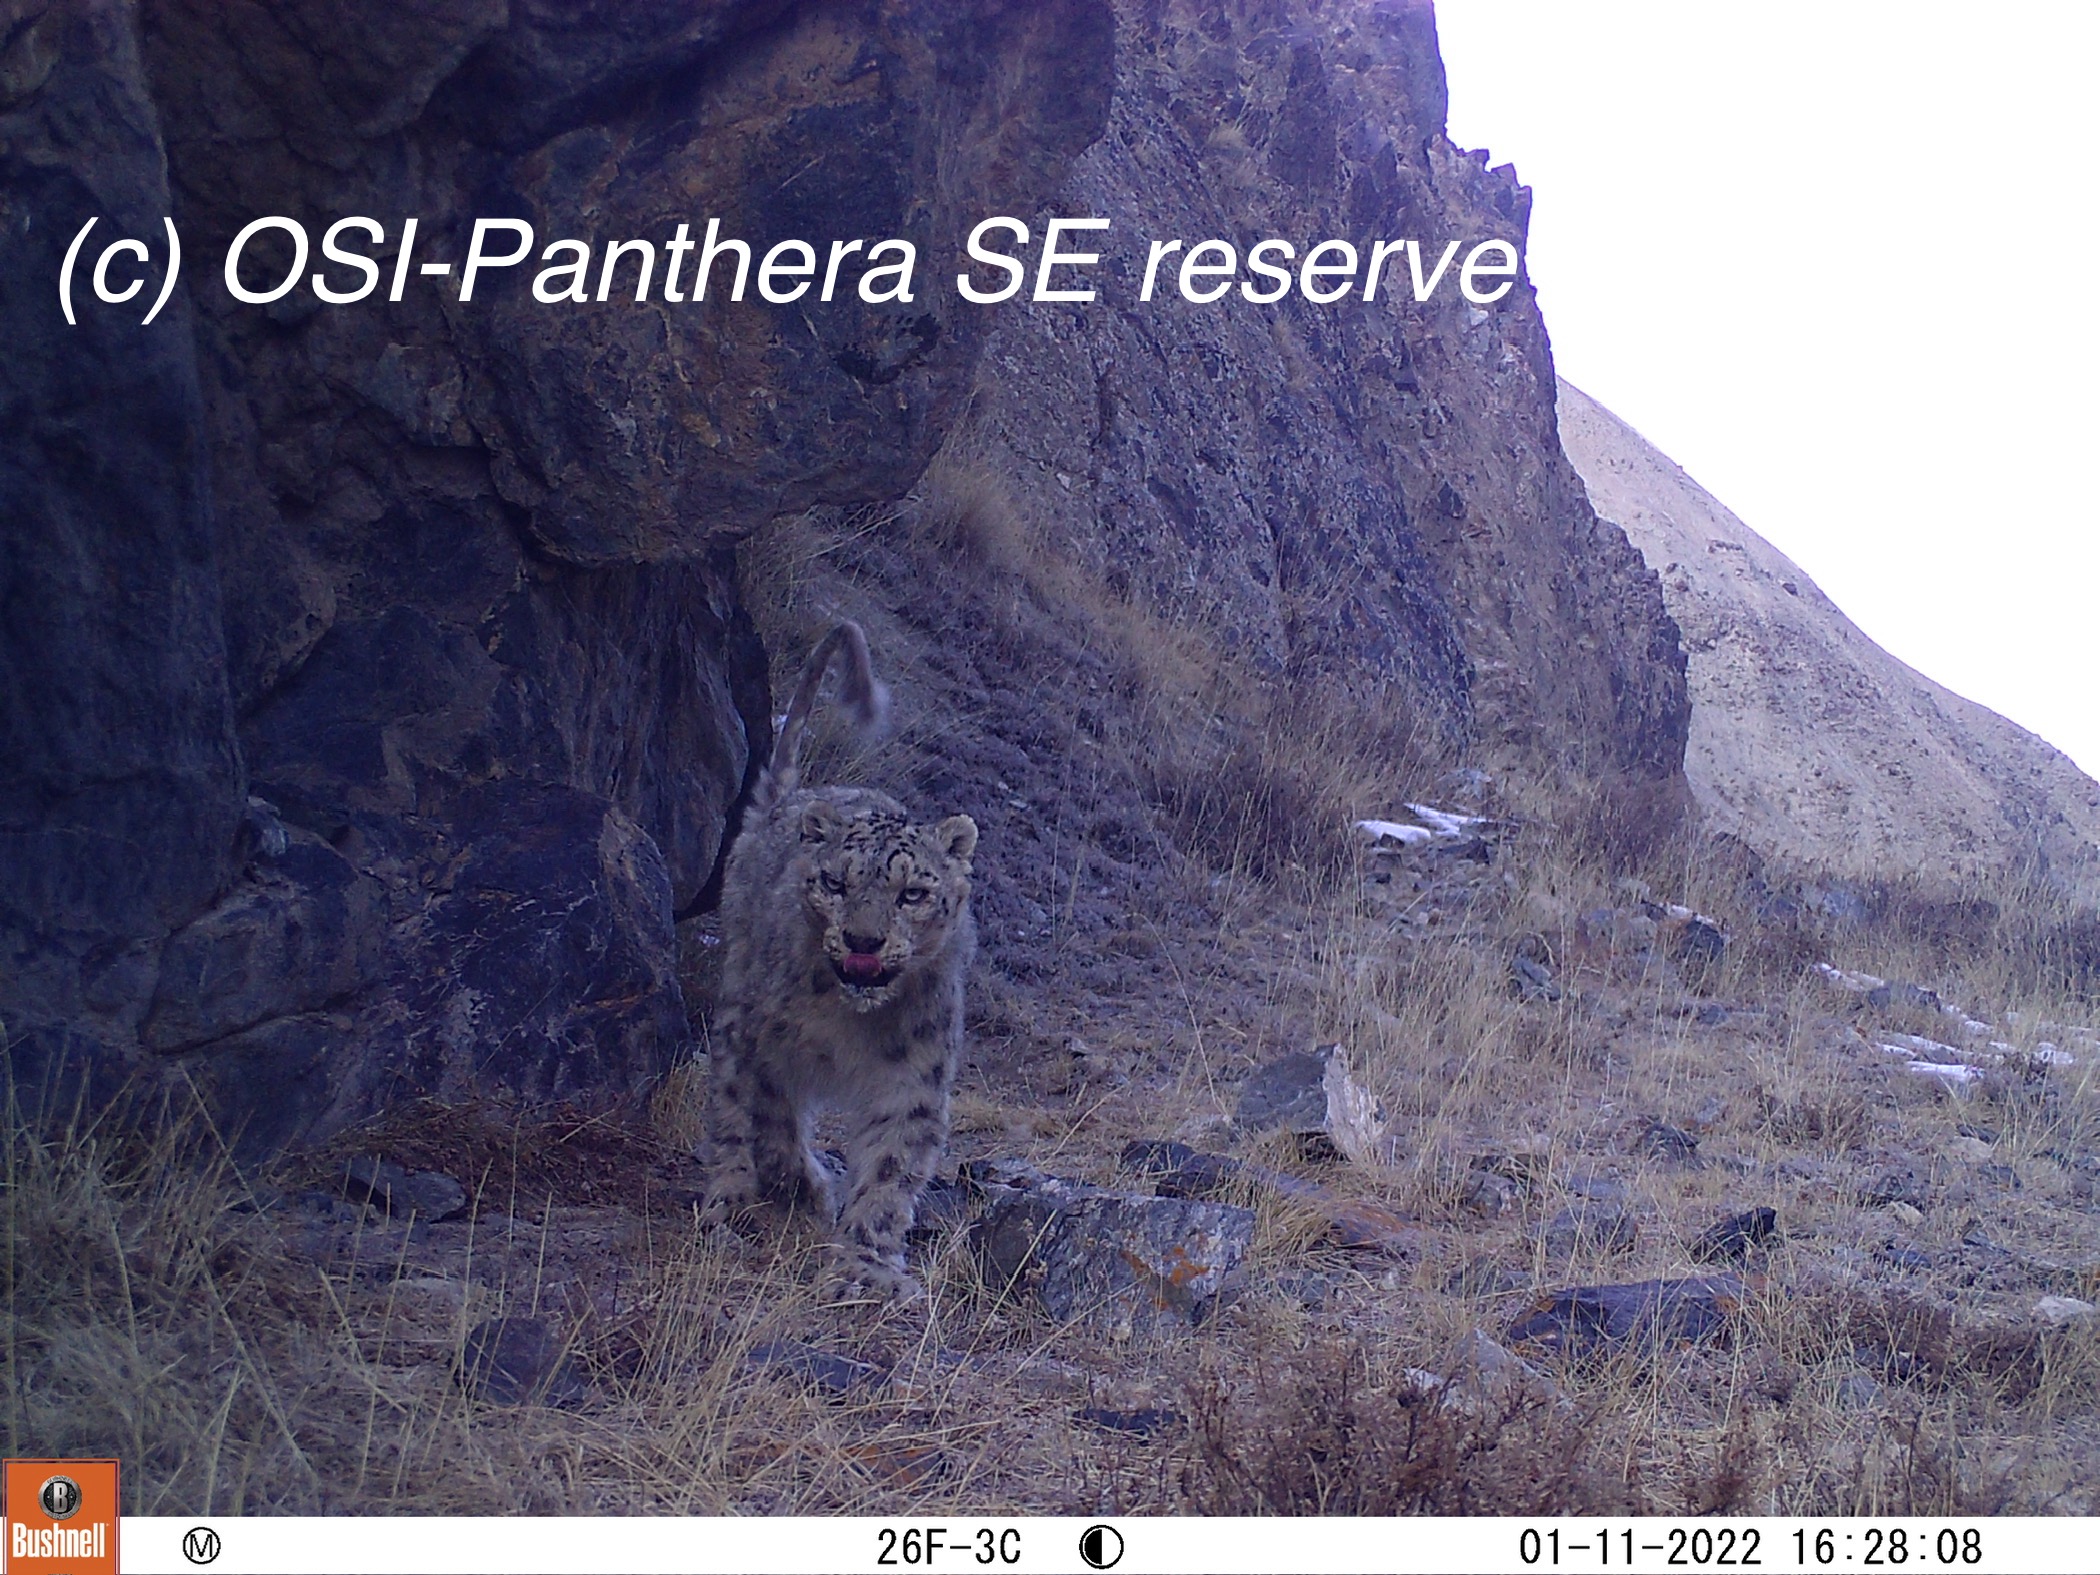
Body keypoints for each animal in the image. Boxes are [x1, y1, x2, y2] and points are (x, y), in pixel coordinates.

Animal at [700, 621, 978, 1302]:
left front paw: (867, 1265)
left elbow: (891, 1165)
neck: (847, 1025)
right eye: (834, 883)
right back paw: (735, 1201)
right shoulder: (756, 1035)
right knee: (731, 1111)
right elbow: (762, 1108)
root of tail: (781, 803)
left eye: (913, 893)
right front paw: (793, 1186)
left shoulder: (913, 1073)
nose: (862, 942)